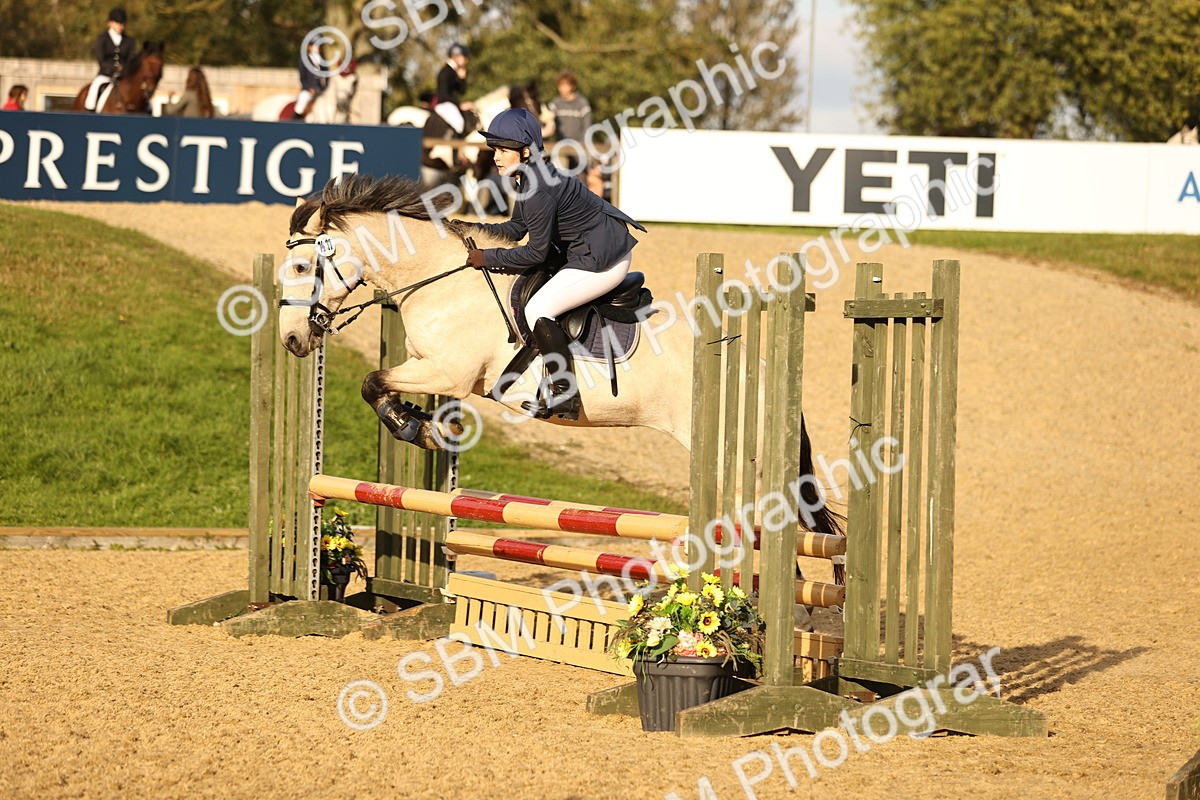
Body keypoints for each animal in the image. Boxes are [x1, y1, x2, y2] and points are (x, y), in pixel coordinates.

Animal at [277, 174, 844, 541]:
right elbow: (382, 384)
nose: (291, 341)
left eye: (304, 266)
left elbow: (372, 382)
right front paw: (427, 426)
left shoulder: (449, 372)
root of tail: (766, 373)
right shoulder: (430, 368)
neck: (440, 277)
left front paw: (415, 428)